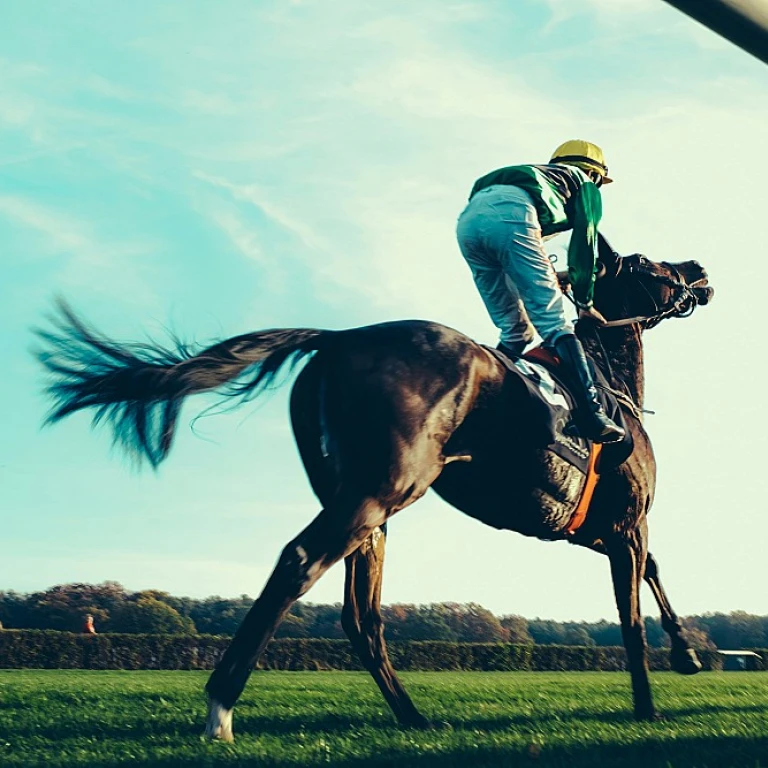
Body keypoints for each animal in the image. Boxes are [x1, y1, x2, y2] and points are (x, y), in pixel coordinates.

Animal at [34, 246, 708, 736]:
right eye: (651, 266)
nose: (699, 271)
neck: (610, 385)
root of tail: (335, 337)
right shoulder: (626, 524)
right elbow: (631, 611)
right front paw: (650, 702)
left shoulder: (589, 531)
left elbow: (652, 571)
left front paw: (690, 655)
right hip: (380, 492)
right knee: (300, 563)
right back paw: (220, 709)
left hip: (367, 508)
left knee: (362, 616)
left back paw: (411, 716)